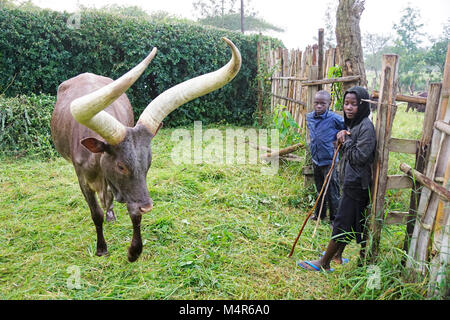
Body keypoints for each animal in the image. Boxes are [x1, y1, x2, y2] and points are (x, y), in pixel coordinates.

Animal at [51, 38, 243, 262]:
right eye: (121, 166)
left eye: (148, 163)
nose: (148, 206)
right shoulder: (83, 179)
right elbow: (95, 214)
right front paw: (101, 248)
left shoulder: (131, 190)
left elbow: (134, 213)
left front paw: (134, 251)